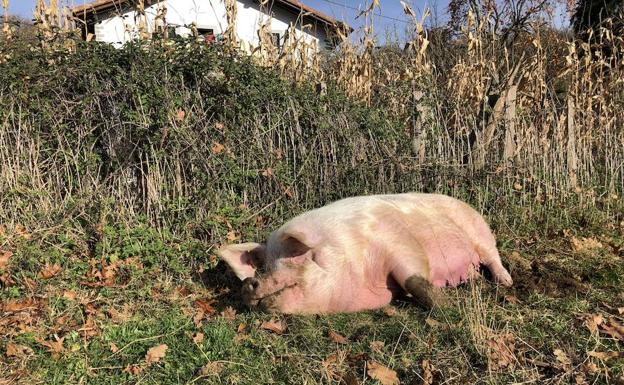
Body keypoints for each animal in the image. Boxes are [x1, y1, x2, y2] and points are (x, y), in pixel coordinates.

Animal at [219, 194, 512, 314]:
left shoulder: (397, 242)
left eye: (295, 257)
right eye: (265, 266)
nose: (250, 282)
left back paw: (506, 282)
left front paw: (446, 308)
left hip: (480, 232)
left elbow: (414, 280)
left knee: (493, 257)